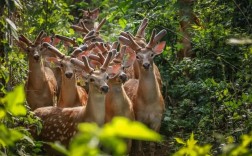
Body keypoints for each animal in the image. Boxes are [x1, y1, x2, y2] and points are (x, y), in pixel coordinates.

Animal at [119, 27, 166, 156]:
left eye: (152, 54)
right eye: (138, 56)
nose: (146, 65)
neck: (149, 103)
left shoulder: (158, 118)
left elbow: (152, 144)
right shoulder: (138, 116)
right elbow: (139, 141)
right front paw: (139, 151)